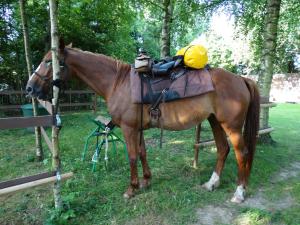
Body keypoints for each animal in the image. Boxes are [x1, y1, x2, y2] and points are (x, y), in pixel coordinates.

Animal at [27, 41, 258, 203]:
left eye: (48, 61)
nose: (30, 88)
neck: (118, 82)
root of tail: (241, 78)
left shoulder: (129, 128)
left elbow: (131, 156)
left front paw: (132, 188)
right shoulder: (137, 128)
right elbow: (142, 153)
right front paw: (147, 180)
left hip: (231, 126)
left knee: (242, 153)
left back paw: (239, 192)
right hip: (215, 121)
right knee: (222, 149)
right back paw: (212, 183)